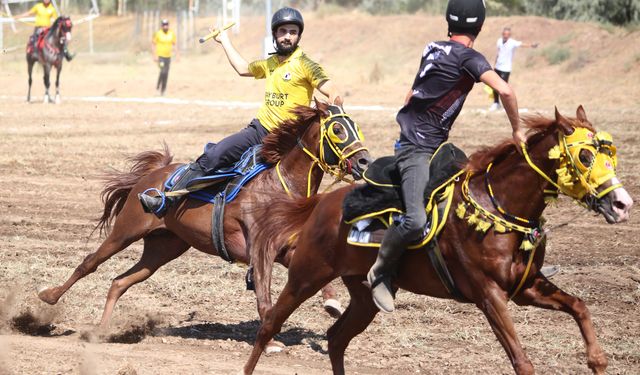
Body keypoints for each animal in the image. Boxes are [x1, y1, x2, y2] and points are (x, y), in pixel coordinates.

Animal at [36, 103, 370, 352]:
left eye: (355, 126)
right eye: (338, 129)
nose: (365, 161)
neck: (278, 186)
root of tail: (153, 175)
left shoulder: (284, 250)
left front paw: (332, 303)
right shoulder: (259, 251)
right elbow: (264, 295)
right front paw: (272, 342)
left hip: (163, 248)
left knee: (120, 281)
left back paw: (102, 331)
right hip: (126, 231)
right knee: (89, 263)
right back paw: (48, 297)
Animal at [245, 106, 636, 375]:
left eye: (609, 154)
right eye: (584, 155)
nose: (622, 204)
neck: (497, 204)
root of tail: (322, 202)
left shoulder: (526, 288)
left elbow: (580, 307)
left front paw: (597, 360)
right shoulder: (489, 295)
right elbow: (522, 362)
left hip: (363, 297)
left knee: (336, 338)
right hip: (306, 275)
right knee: (269, 324)